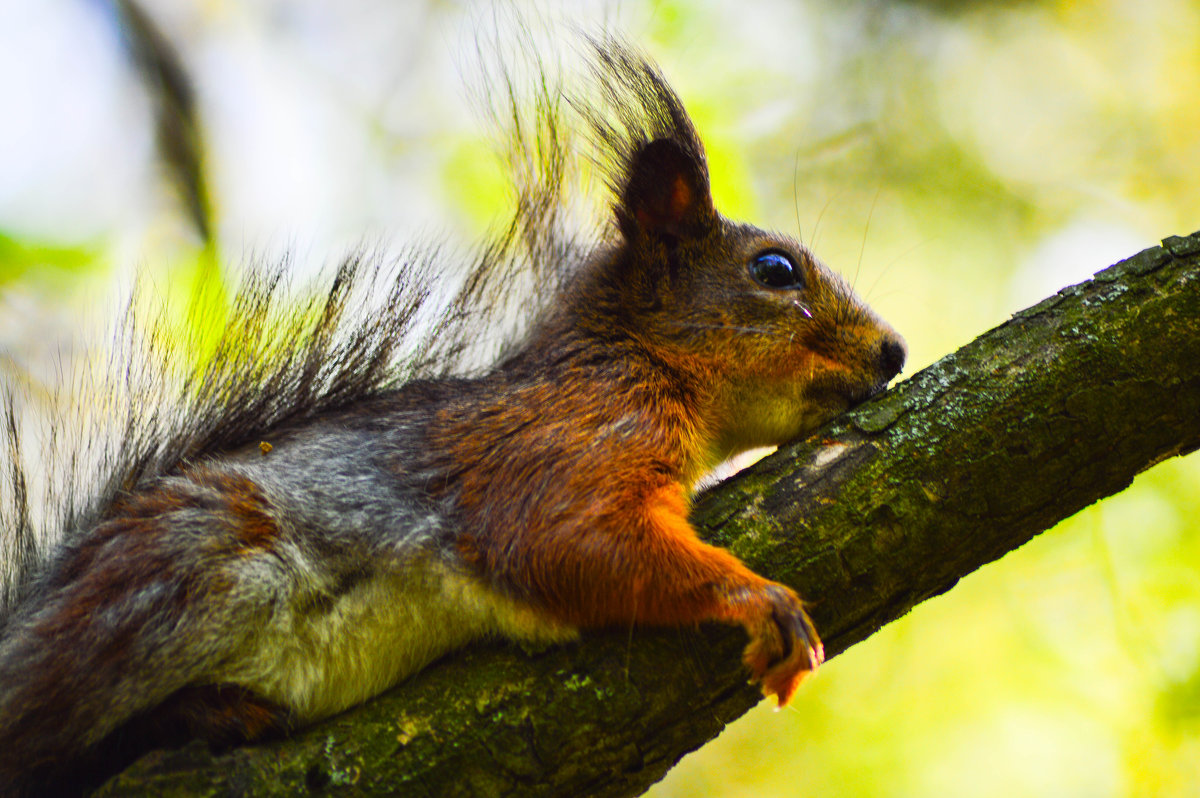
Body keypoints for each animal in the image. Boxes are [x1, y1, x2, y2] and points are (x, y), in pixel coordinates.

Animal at [0, 31, 902, 792]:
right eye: (775, 269)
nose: (893, 351)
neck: (632, 366)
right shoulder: (560, 450)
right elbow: (571, 542)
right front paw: (757, 596)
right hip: (183, 573)